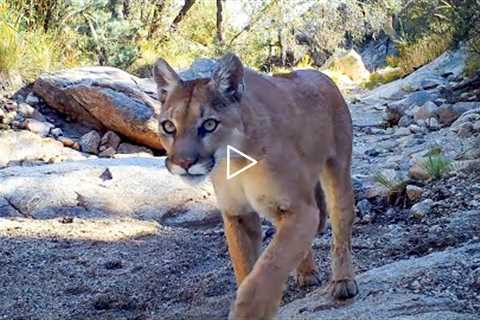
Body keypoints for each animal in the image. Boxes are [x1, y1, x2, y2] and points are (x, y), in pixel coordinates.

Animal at [152, 53, 358, 318]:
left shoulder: (300, 208)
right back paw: (306, 272)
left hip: (337, 171)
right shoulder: (237, 213)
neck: (234, 160)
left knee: (340, 227)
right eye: (168, 126)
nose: (184, 163)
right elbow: (246, 267)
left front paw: (250, 311)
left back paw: (343, 282)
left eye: (209, 124)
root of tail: (320, 75)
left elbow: (271, 263)